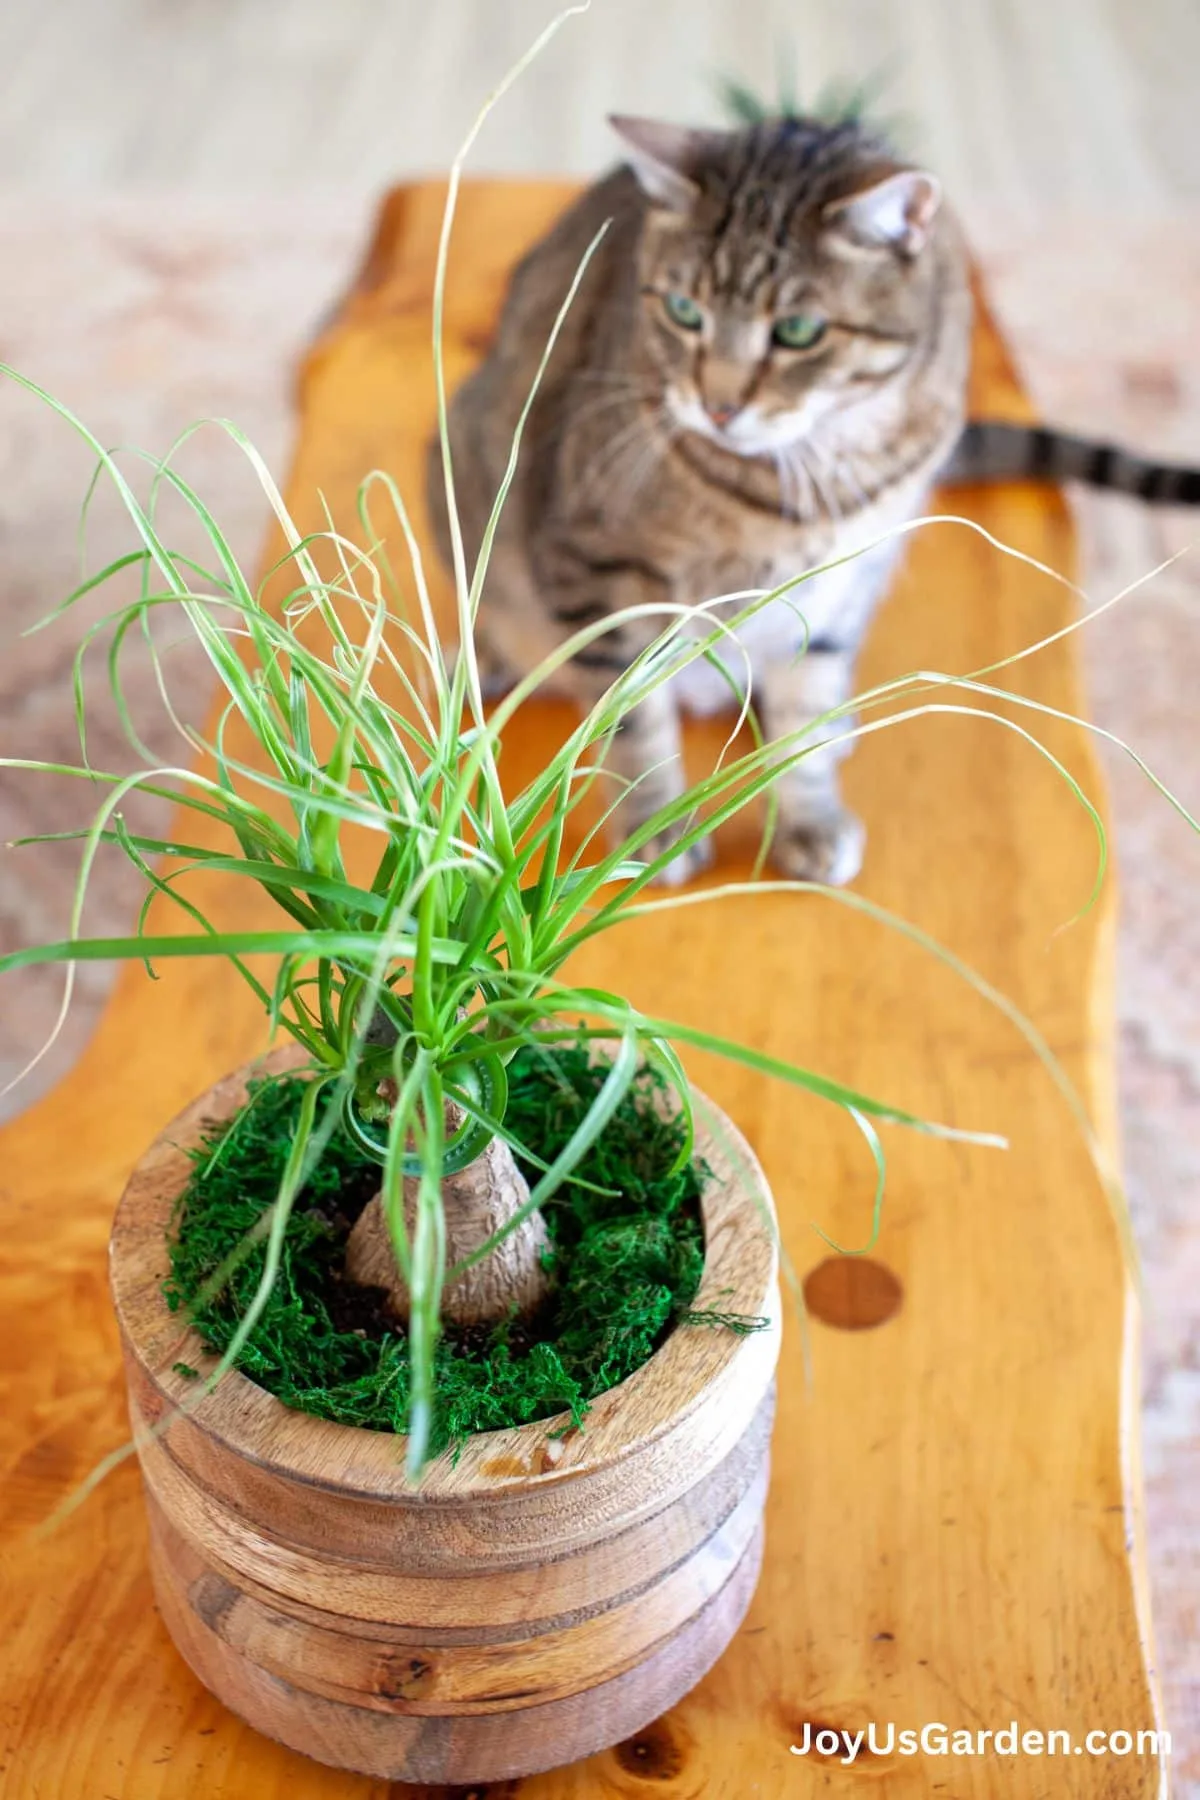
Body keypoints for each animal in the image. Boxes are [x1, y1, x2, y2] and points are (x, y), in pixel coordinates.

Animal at [426, 112, 1194, 885]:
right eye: (683, 311)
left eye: (799, 331)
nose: (719, 405)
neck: (813, 468)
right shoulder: (595, 566)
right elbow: (632, 719)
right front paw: (652, 829)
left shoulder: (836, 585)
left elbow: (805, 701)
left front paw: (811, 815)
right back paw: (483, 659)